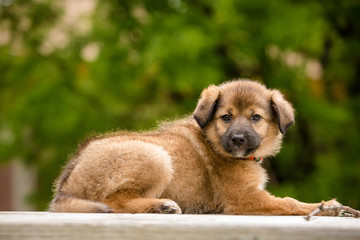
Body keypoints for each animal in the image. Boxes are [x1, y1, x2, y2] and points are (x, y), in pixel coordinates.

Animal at [50, 79, 340, 215]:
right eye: (226, 117)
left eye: (255, 117)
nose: (238, 139)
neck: (214, 142)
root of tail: (66, 185)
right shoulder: (243, 198)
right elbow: (289, 202)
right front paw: (326, 206)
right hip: (156, 156)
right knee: (113, 201)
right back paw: (162, 206)